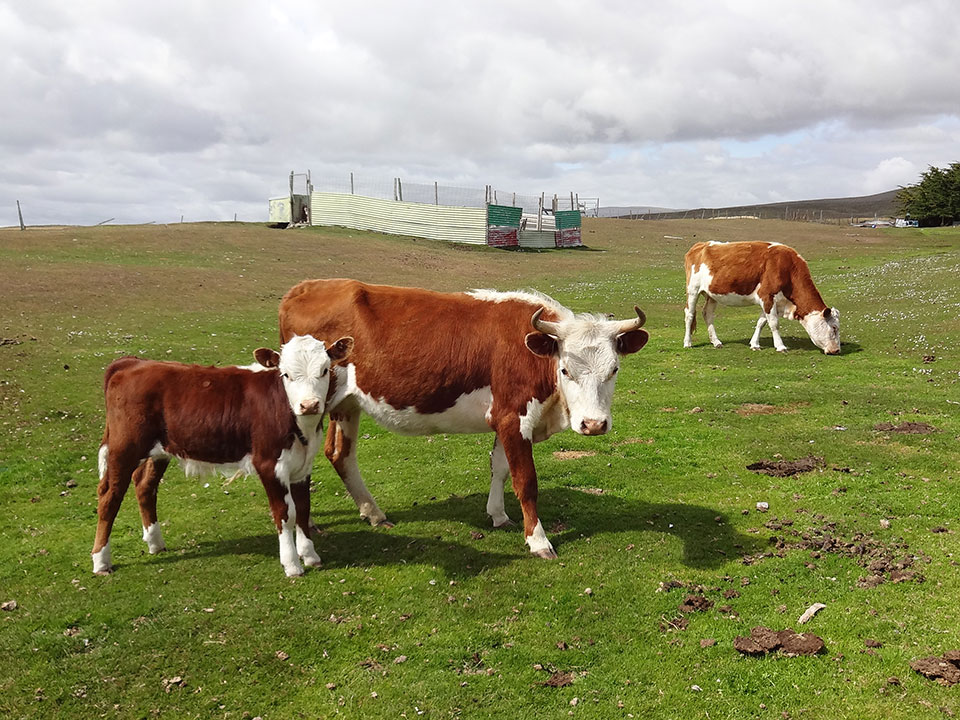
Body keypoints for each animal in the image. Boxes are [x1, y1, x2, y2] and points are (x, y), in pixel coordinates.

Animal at [90, 334, 350, 576]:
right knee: (109, 496)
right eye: (285, 374)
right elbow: (286, 514)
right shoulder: (269, 465)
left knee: (144, 485)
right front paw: (292, 565)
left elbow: (304, 508)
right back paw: (101, 561)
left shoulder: (303, 466)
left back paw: (155, 543)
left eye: (324, 370)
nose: (309, 405)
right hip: (124, 448)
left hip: (159, 450)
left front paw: (310, 555)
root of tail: (132, 363)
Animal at [280, 278, 652, 560]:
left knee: (340, 454)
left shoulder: (503, 419)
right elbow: (525, 481)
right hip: (310, 405)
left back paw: (373, 513)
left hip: (347, 404)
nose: (594, 424)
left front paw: (498, 515)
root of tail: (305, 287)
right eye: (565, 370)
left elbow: (500, 468)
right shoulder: (513, 417)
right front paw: (538, 540)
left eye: (614, 369)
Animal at [684, 242, 840, 354]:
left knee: (708, 314)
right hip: (693, 290)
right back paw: (688, 342)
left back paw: (716, 342)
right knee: (689, 314)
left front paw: (755, 344)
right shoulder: (768, 296)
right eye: (834, 328)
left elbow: (761, 322)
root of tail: (700, 245)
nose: (837, 350)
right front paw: (780, 346)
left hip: (712, 295)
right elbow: (774, 324)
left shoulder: (770, 302)